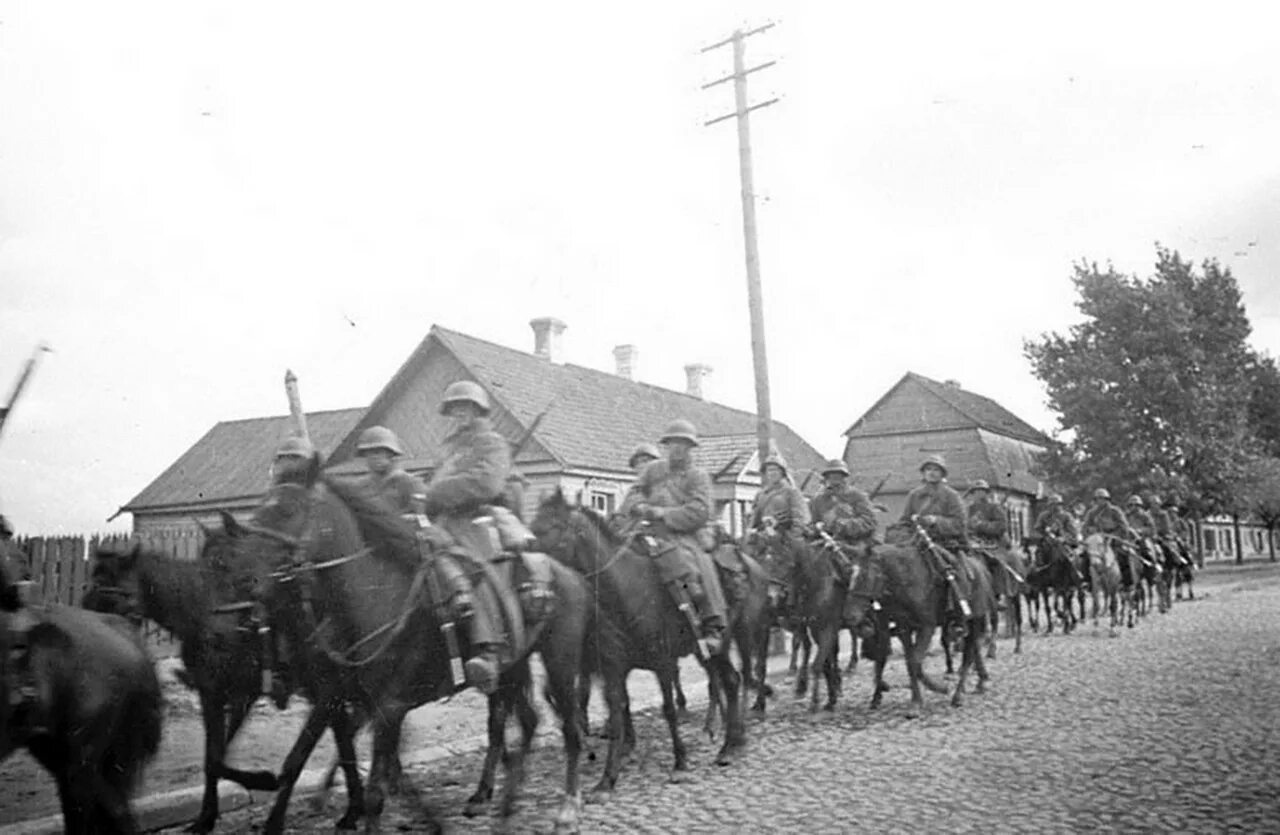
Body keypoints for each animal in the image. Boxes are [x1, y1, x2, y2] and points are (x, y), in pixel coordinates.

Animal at [222, 476, 591, 835]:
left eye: (286, 510)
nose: (241, 580)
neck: (374, 599)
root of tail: (567, 573)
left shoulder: (387, 708)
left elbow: (375, 789)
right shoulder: (346, 699)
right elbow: (321, 757)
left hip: (559, 664)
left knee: (569, 729)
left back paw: (567, 809)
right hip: (512, 668)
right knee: (527, 721)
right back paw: (503, 804)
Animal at [529, 489, 747, 804]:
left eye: (552, 528)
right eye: (533, 528)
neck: (625, 588)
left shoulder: (663, 663)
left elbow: (668, 710)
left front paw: (680, 763)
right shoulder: (613, 669)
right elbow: (618, 712)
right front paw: (607, 779)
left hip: (718, 643)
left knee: (729, 680)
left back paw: (727, 745)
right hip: (704, 652)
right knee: (728, 681)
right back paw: (734, 740)